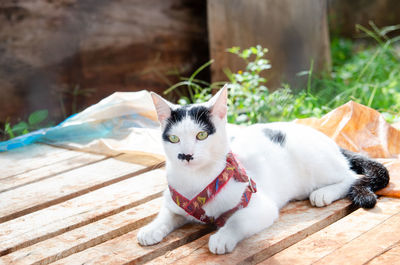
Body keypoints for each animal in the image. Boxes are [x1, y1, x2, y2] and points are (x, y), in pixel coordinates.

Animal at [137, 84, 388, 254]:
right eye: (173, 138)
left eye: (201, 135)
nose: (185, 155)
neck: (196, 180)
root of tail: (330, 140)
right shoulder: (175, 200)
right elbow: (166, 214)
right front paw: (151, 229)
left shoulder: (259, 204)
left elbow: (237, 220)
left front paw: (222, 237)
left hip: (316, 159)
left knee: (351, 176)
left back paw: (324, 192)